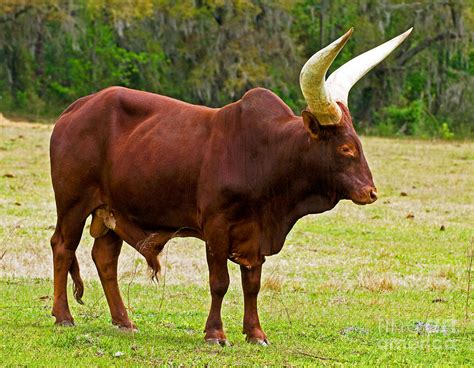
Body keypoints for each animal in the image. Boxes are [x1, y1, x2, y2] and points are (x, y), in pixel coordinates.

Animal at [49, 26, 412, 344]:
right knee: (63, 247)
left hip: (112, 210)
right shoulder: (216, 227)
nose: (371, 192)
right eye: (346, 149)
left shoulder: (255, 235)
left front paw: (256, 333)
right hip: (73, 202)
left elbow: (252, 283)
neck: (266, 155)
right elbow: (219, 281)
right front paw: (215, 333)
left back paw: (124, 321)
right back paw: (63, 316)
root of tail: (76, 108)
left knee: (104, 258)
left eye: (358, 143)